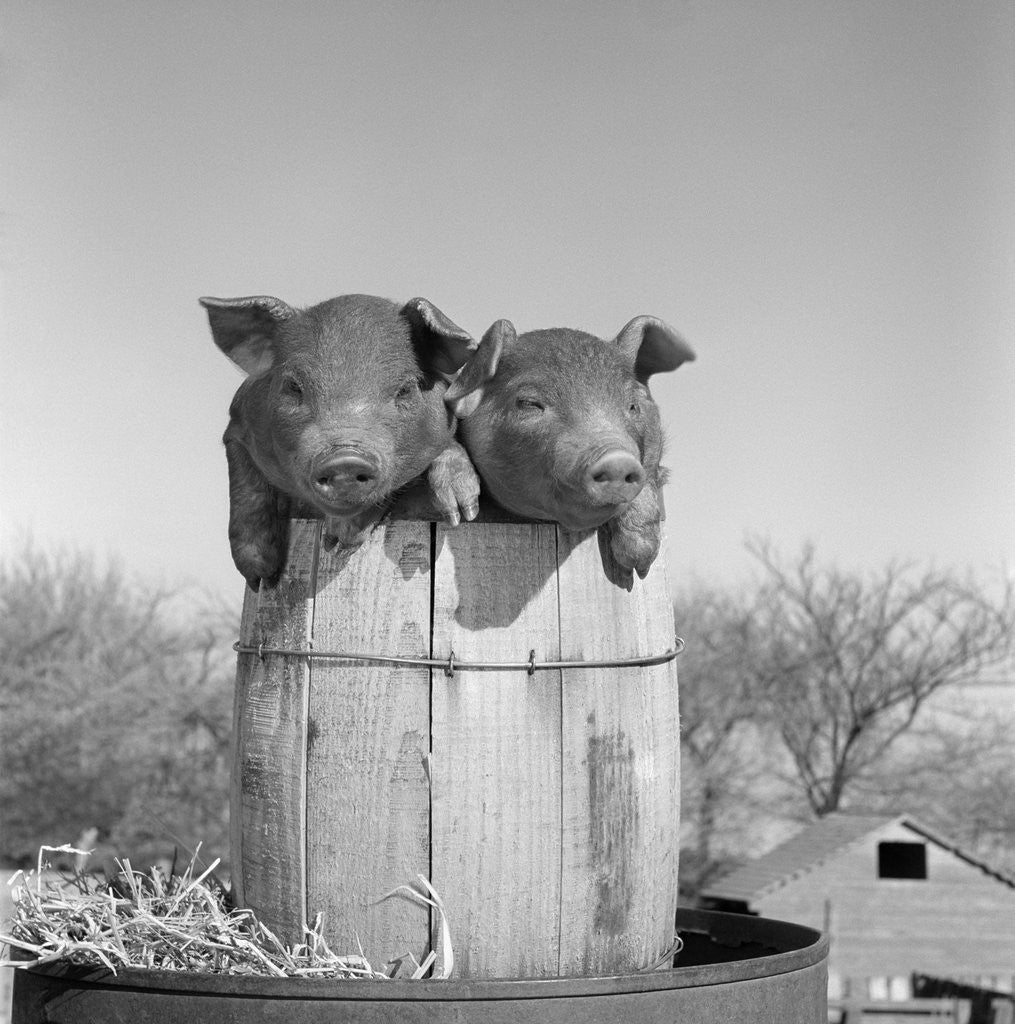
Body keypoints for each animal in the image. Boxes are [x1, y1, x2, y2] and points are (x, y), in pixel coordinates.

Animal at [202, 292, 481, 589]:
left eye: (405, 389)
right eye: (293, 387)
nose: (345, 458)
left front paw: (462, 513)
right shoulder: (238, 422)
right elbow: (246, 490)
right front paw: (261, 579)